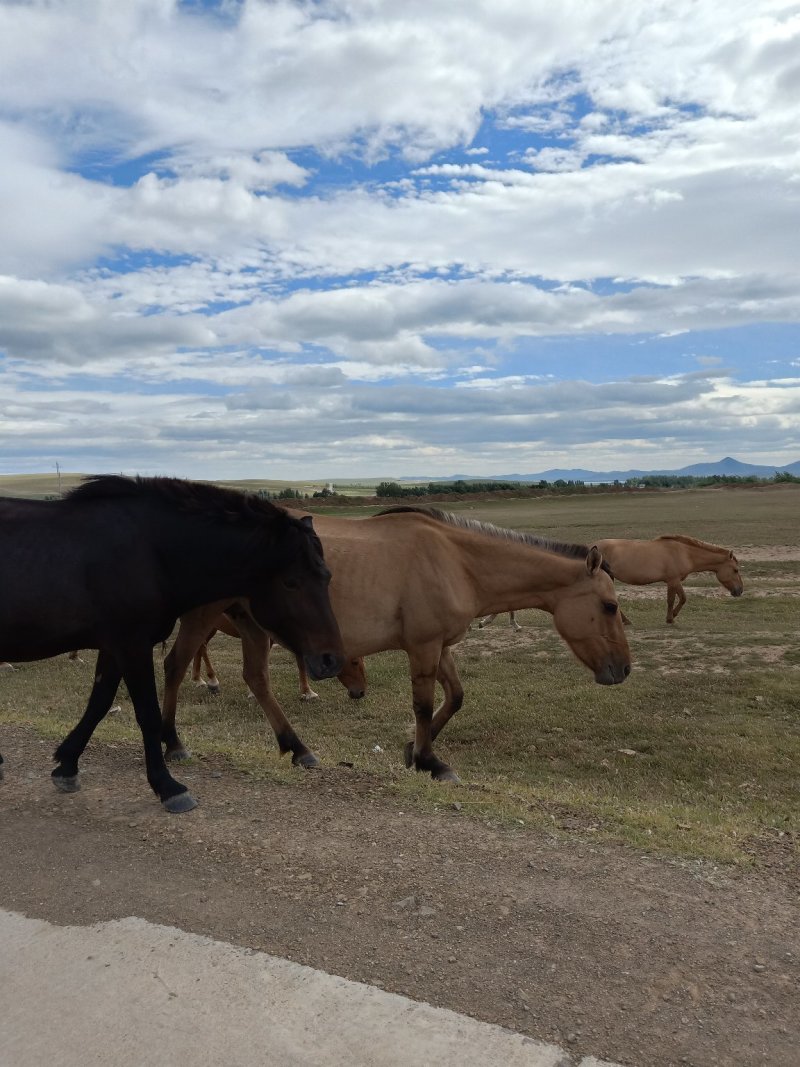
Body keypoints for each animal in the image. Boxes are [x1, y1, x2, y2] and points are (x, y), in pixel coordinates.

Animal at [0, 476, 344, 811]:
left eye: (327, 577)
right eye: (291, 582)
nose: (331, 660)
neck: (150, 551)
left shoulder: (113, 647)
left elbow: (98, 704)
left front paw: (67, 764)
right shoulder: (132, 645)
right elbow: (147, 715)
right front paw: (167, 786)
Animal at [185, 608, 367, 701]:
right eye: (355, 662)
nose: (361, 693)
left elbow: (300, 663)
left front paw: (307, 692)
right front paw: (253, 693)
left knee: (198, 648)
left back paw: (199, 680)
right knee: (201, 647)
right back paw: (212, 681)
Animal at [595, 535, 743, 623]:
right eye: (735, 570)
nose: (740, 591)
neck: (685, 553)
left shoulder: (673, 581)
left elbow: (680, 598)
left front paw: (672, 616)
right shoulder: (673, 580)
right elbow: (675, 599)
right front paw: (670, 618)